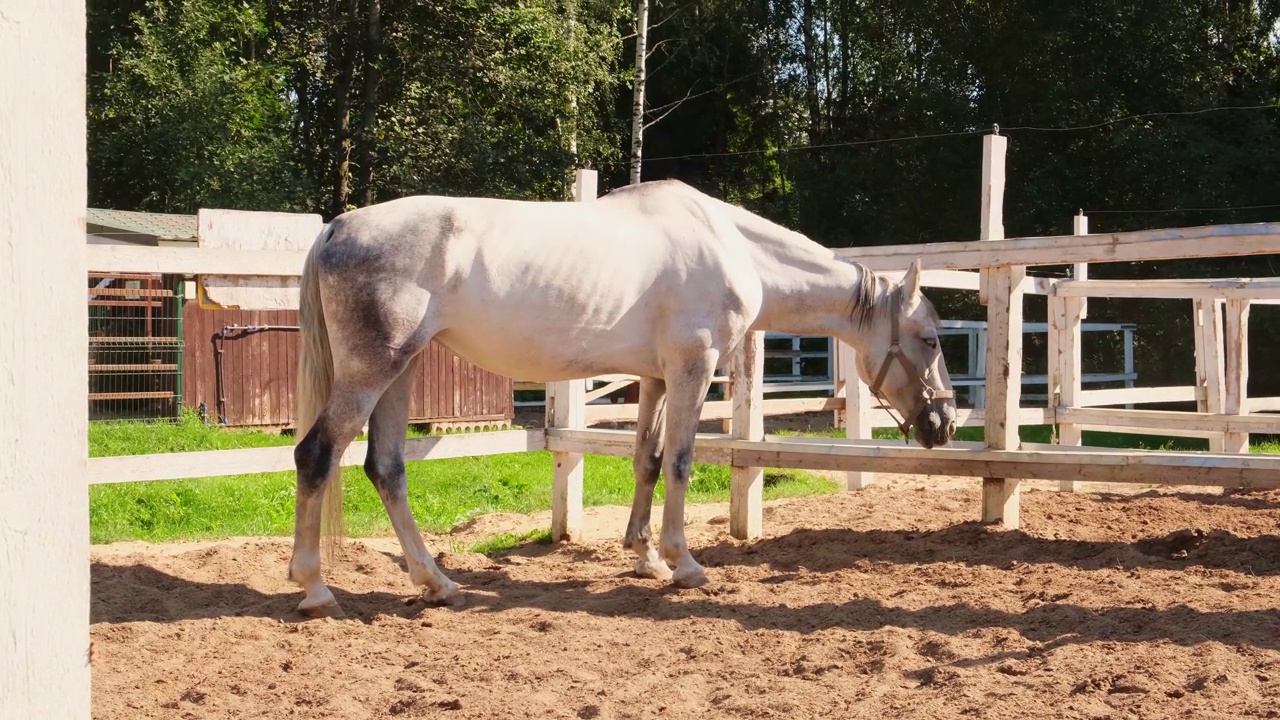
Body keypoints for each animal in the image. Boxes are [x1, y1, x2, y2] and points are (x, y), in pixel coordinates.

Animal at [288, 176, 952, 614]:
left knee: (386, 469)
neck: (730, 246)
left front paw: (644, 556)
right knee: (317, 454)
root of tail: (336, 228)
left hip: (400, 372)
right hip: (374, 371)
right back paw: (315, 587)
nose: (943, 422)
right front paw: (685, 564)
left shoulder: (654, 378)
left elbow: (647, 460)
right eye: (929, 338)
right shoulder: (693, 369)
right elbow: (681, 462)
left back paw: (438, 583)